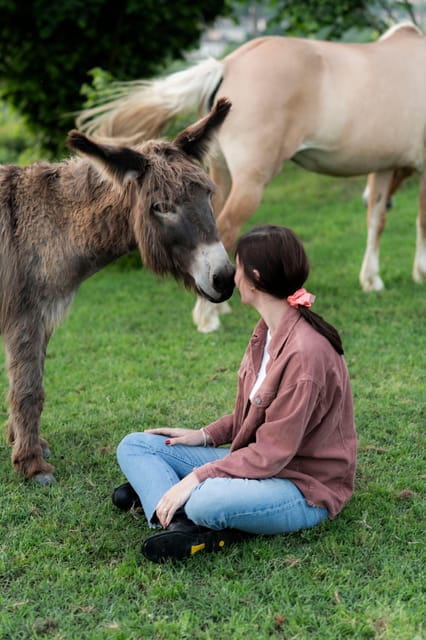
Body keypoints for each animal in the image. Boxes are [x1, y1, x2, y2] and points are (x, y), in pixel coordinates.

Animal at [0, 98, 234, 485]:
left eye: (209, 194)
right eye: (161, 207)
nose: (225, 279)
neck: (51, 227)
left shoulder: (41, 319)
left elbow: (23, 381)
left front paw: (23, 443)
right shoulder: (26, 316)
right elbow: (29, 388)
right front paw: (32, 465)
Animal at [77, 21, 426, 333]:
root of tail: (227, 65)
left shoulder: (383, 167)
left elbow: (376, 219)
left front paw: (372, 279)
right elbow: (421, 219)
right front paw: (420, 273)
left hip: (217, 178)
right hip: (250, 183)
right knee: (228, 227)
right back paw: (208, 318)